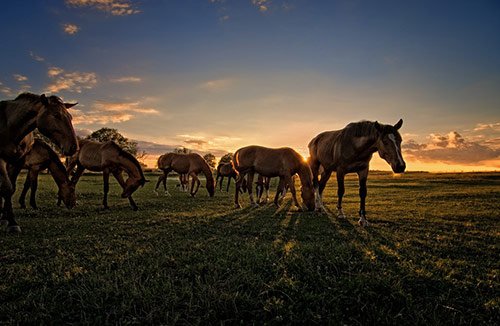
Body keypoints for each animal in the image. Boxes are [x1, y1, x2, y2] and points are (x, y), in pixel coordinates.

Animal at [0, 93, 78, 233]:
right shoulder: (33, 167)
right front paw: (30, 206)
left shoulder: (19, 163)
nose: (74, 146)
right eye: (56, 115)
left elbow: (18, 186)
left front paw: (12, 215)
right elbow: (28, 186)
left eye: (70, 117)